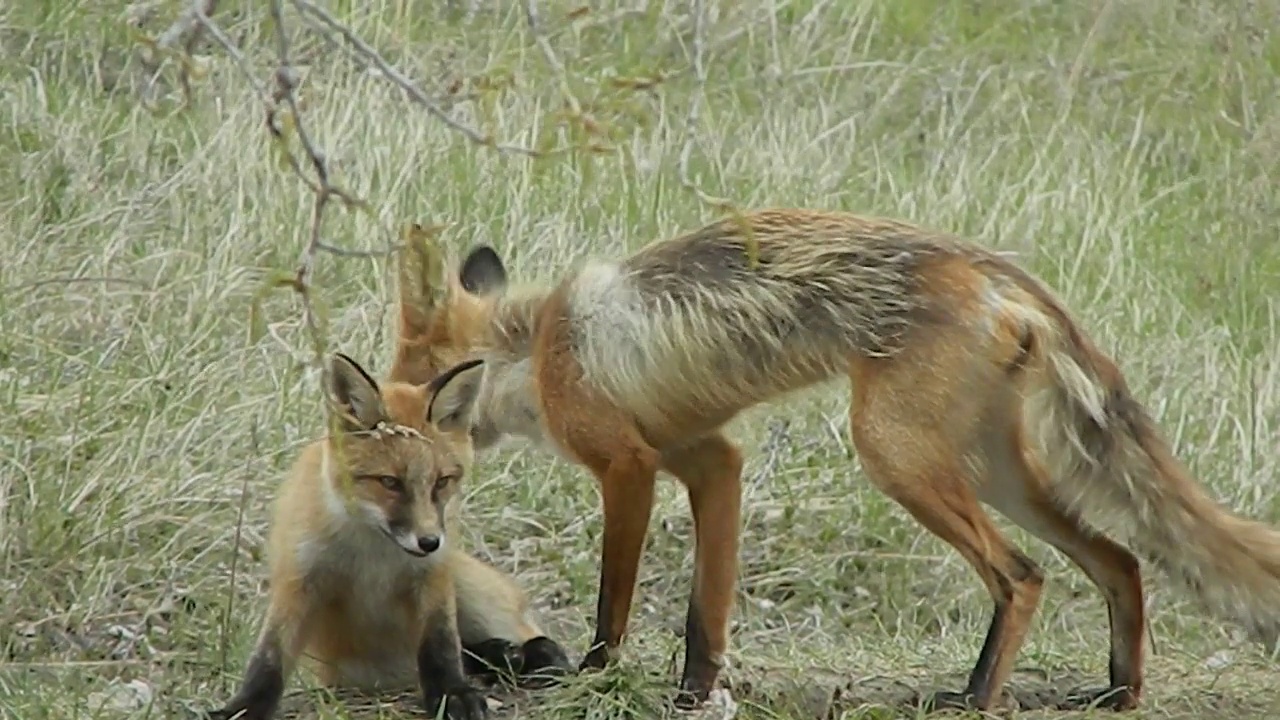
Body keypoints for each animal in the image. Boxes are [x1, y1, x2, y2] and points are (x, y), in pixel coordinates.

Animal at [202, 348, 573, 717]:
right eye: (390, 483)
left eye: (441, 482)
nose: (429, 542)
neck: (374, 553)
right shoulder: (300, 579)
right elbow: (269, 657)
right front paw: (243, 706)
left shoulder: (432, 577)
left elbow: (440, 646)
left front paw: (452, 693)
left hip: (471, 588)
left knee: (515, 638)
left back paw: (527, 655)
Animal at [391, 208, 1280, 712]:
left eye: (411, 391)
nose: (381, 439)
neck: (538, 345)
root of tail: (995, 268)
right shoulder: (711, 459)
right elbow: (705, 614)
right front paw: (693, 693)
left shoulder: (629, 467)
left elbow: (616, 603)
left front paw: (596, 679)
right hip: (996, 474)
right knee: (1122, 560)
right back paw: (1119, 694)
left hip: (900, 459)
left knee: (1024, 576)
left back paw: (975, 698)